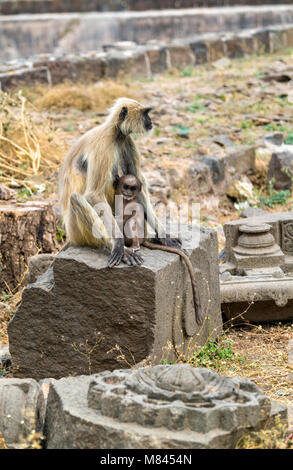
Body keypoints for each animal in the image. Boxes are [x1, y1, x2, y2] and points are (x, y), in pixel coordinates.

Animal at [113, 174, 202, 324]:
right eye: (126, 186)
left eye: (133, 188)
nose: (128, 193)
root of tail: (143, 240)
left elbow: (132, 218)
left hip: (137, 236)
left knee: (131, 222)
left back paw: (135, 246)